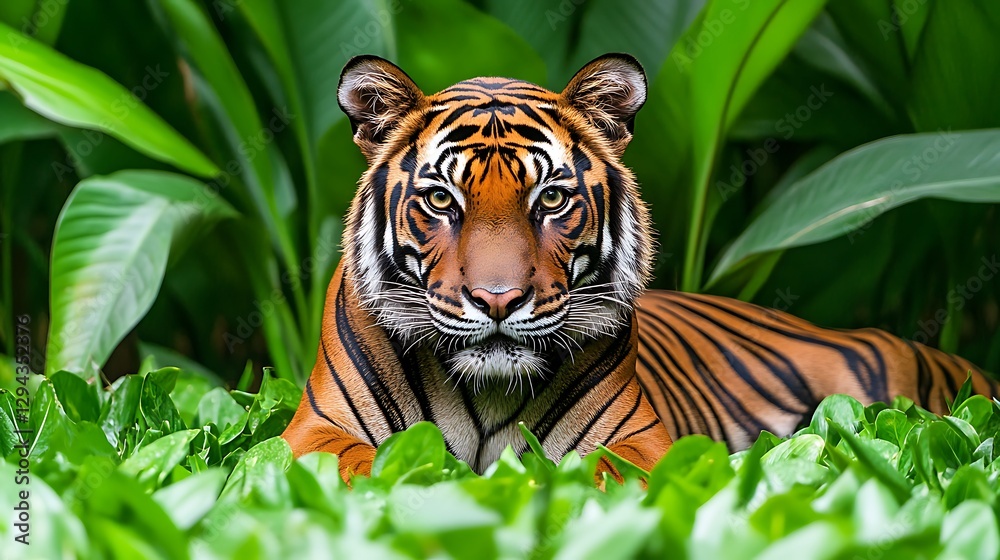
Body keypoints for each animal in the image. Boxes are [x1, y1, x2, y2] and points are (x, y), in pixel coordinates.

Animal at [282, 53, 997, 483]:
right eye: (440, 200)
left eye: (551, 199)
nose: (498, 300)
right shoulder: (314, 433)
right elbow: (371, 464)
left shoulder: (643, 442)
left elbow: (597, 473)